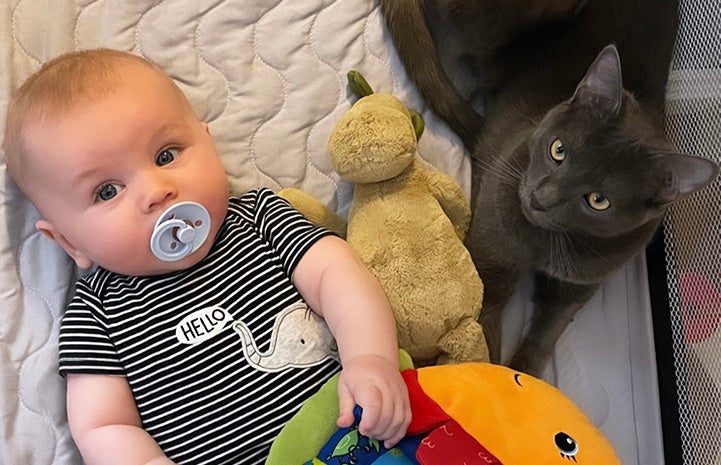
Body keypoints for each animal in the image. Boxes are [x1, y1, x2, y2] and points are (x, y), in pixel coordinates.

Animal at [380, 0, 716, 376]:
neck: (543, 244)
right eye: (558, 150)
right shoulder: (490, 255)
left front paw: (523, 374)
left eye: (599, 201)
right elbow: (484, 325)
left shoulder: (577, 286)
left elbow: (545, 333)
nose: (540, 199)